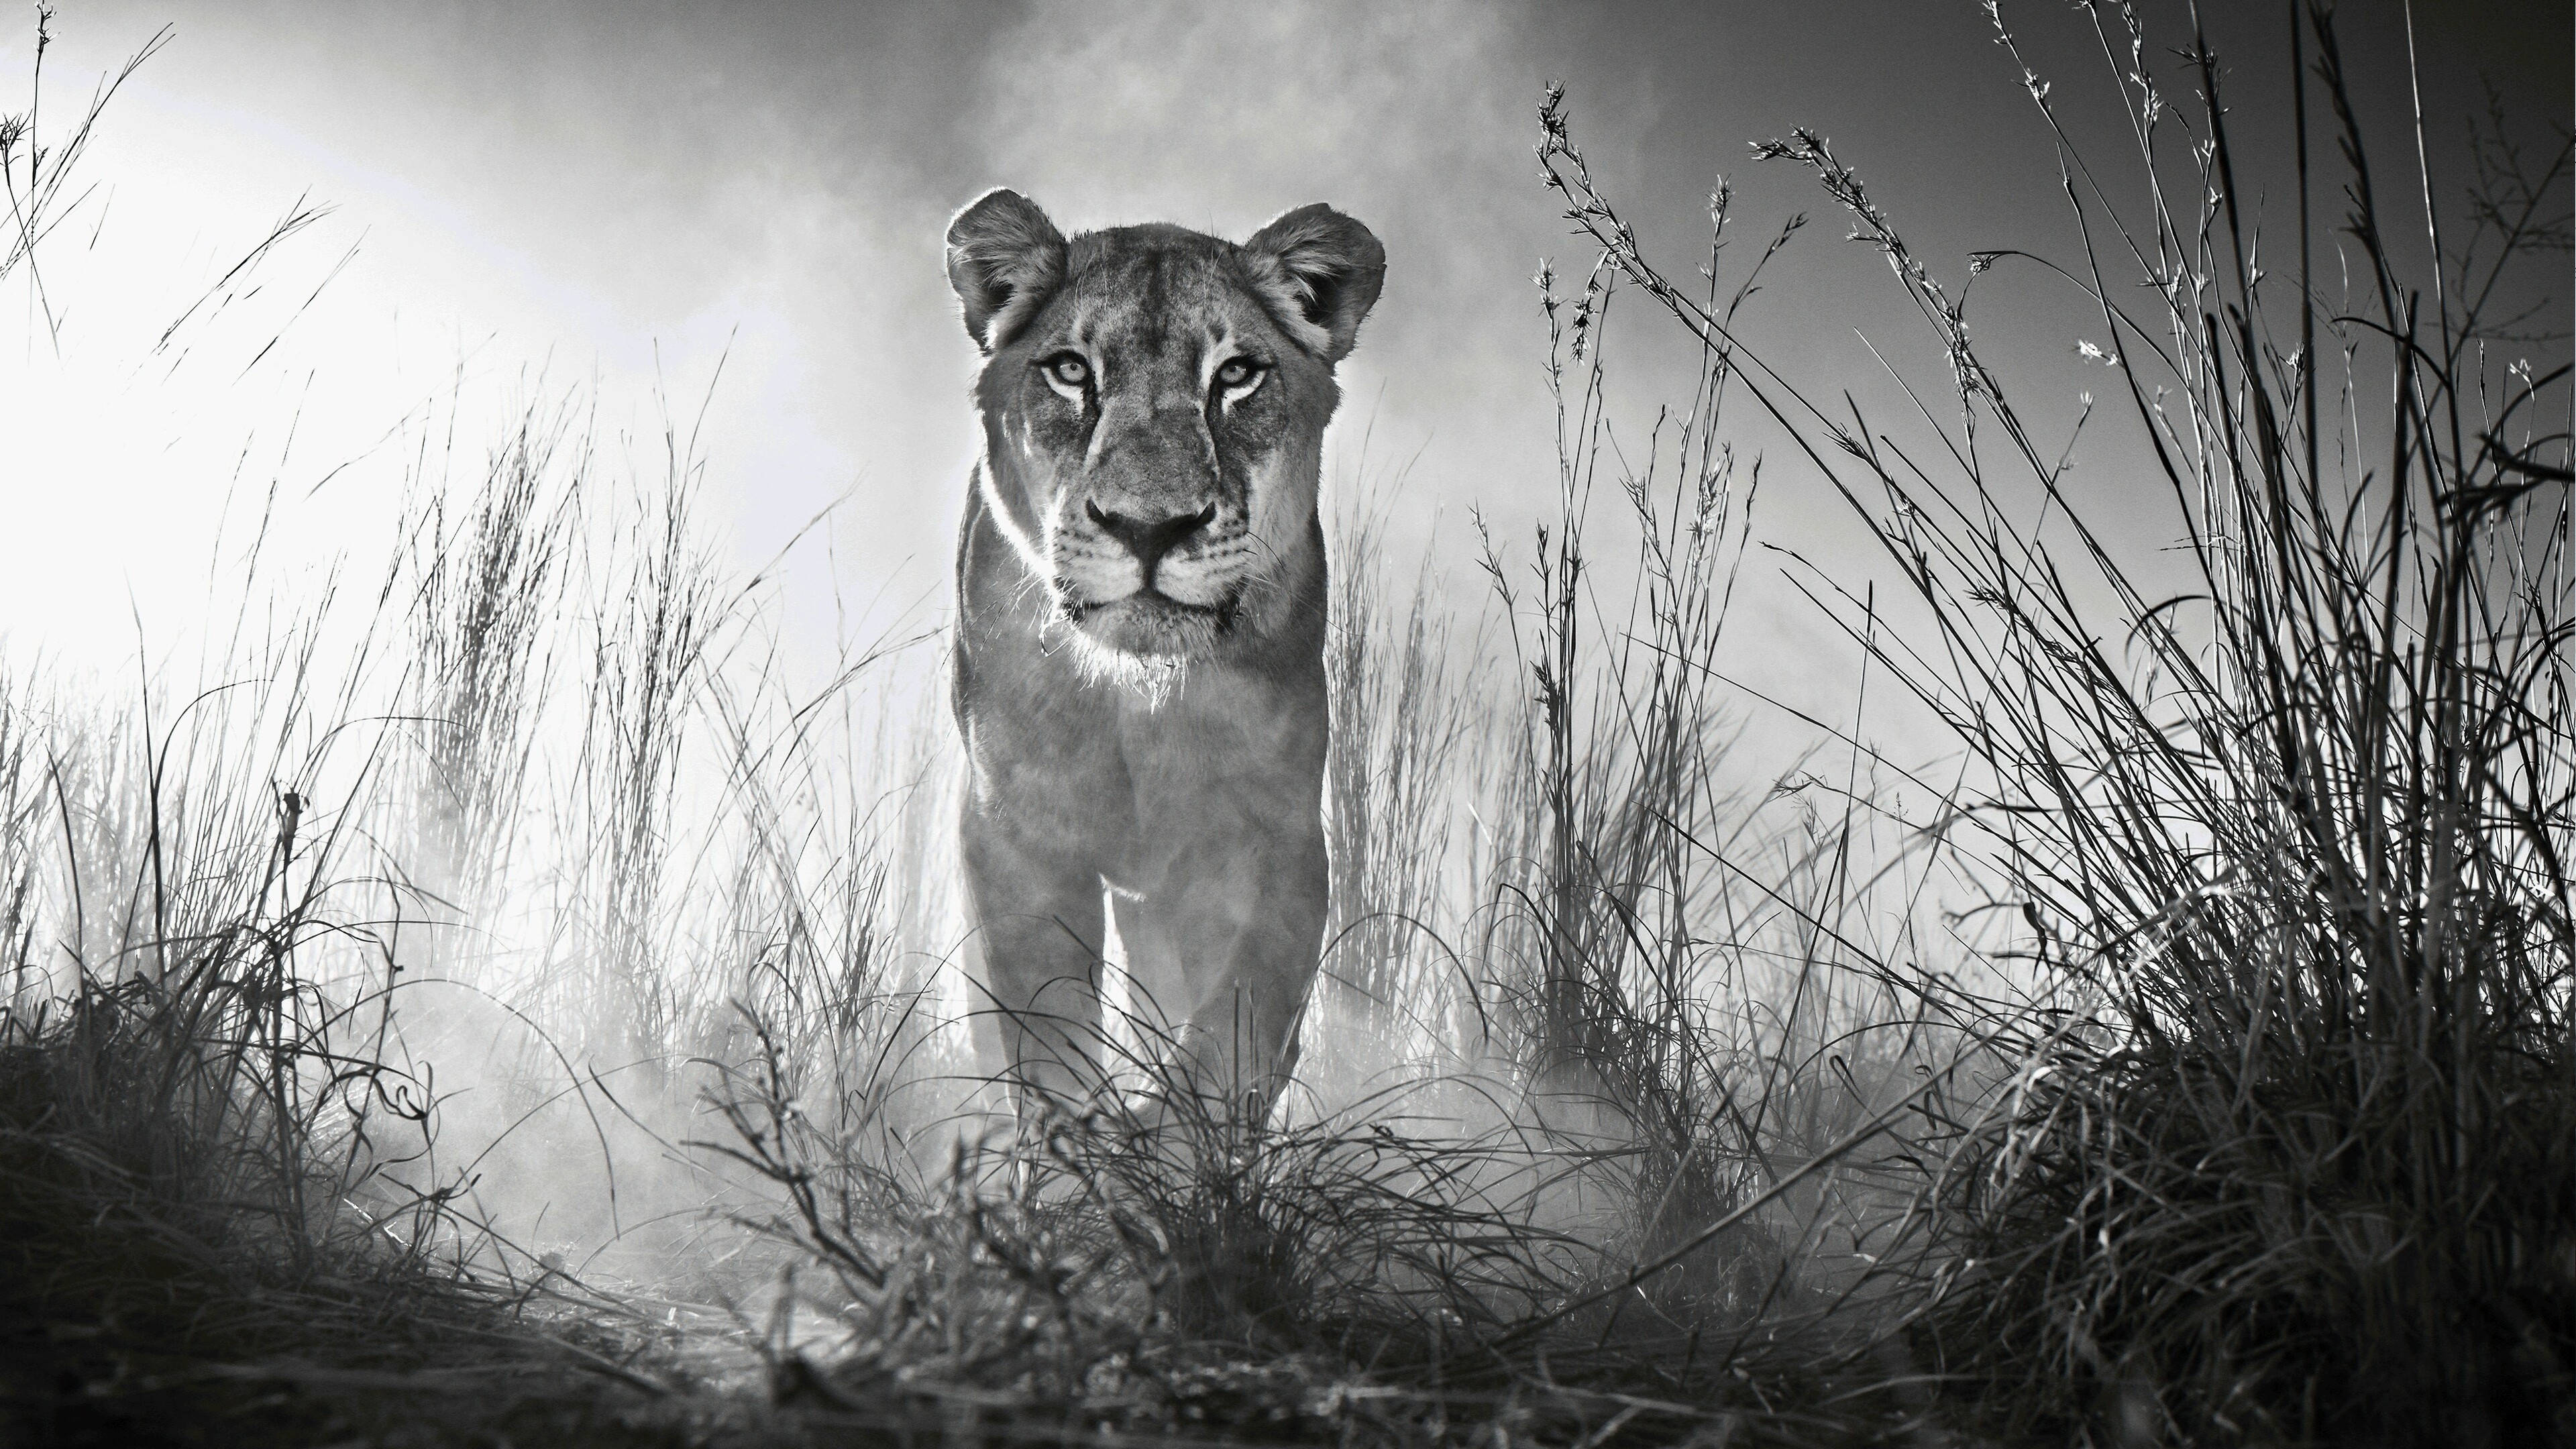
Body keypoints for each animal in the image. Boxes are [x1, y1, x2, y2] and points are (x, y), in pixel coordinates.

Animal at [942, 188, 1384, 1125]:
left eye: (1237, 374)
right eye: (1071, 371)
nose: (1149, 528)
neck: (1137, 701)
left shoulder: (1275, 838)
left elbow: (1235, 1026)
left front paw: (1169, 1139)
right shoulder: (1014, 833)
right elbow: (1046, 1028)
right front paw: (1076, 1146)